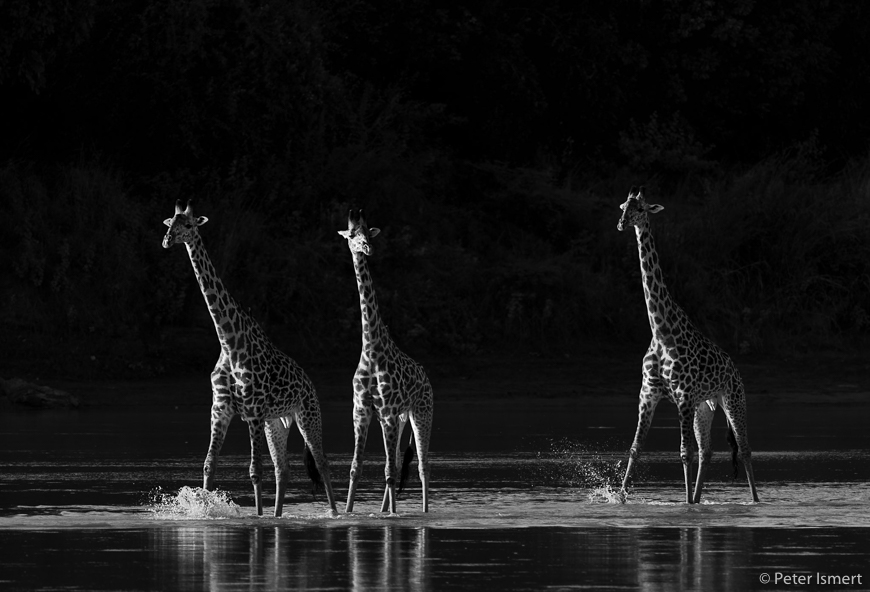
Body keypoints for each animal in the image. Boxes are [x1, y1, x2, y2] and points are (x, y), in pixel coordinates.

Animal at [162, 200, 337, 517]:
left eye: (189, 225)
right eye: (170, 223)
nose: (168, 240)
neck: (229, 340)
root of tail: (310, 384)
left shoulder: (253, 411)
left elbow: (255, 471)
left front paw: (257, 517)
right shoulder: (220, 409)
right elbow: (208, 465)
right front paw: (206, 508)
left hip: (307, 415)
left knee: (321, 462)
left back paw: (334, 513)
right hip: (277, 423)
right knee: (283, 469)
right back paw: (279, 515)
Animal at [338, 209, 434, 514]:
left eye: (368, 233)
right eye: (352, 235)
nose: (367, 247)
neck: (371, 348)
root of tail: (426, 379)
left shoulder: (388, 411)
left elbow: (390, 470)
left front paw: (393, 516)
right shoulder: (362, 409)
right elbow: (356, 468)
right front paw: (348, 512)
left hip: (421, 412)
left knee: (422, 466)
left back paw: (423, 512)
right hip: (400, 418)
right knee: (398, 463)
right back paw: (383, 509)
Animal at [616, 186, 759, 504]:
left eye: (640, 209)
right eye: (622, 206)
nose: (621, 223)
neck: (661, 331)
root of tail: (735, 369)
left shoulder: (682, 395)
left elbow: (683, 452)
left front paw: (684, 503)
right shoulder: (648, 392)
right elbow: (635, 448)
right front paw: (619, 497)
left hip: (733, 399)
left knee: (744, 449)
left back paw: (755, 500)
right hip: (704, 406)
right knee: (707, 451)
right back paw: (697, 497)